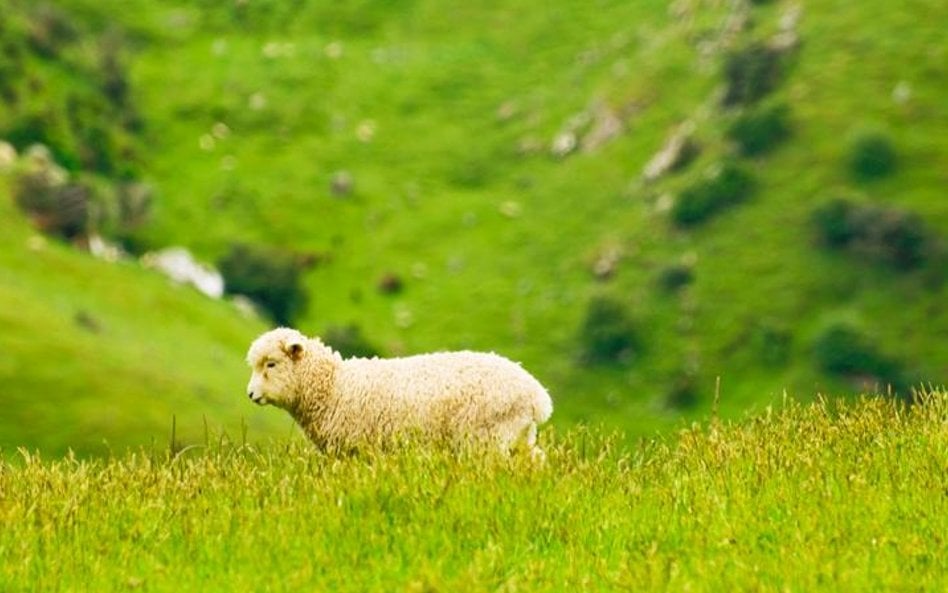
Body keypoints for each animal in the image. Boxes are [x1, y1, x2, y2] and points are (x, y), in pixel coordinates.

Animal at [246, 326, 556, 456]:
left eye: (271, 364)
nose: (250, 395)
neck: (334, 386)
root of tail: (537, 396)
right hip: (519, 437)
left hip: (488, 438)